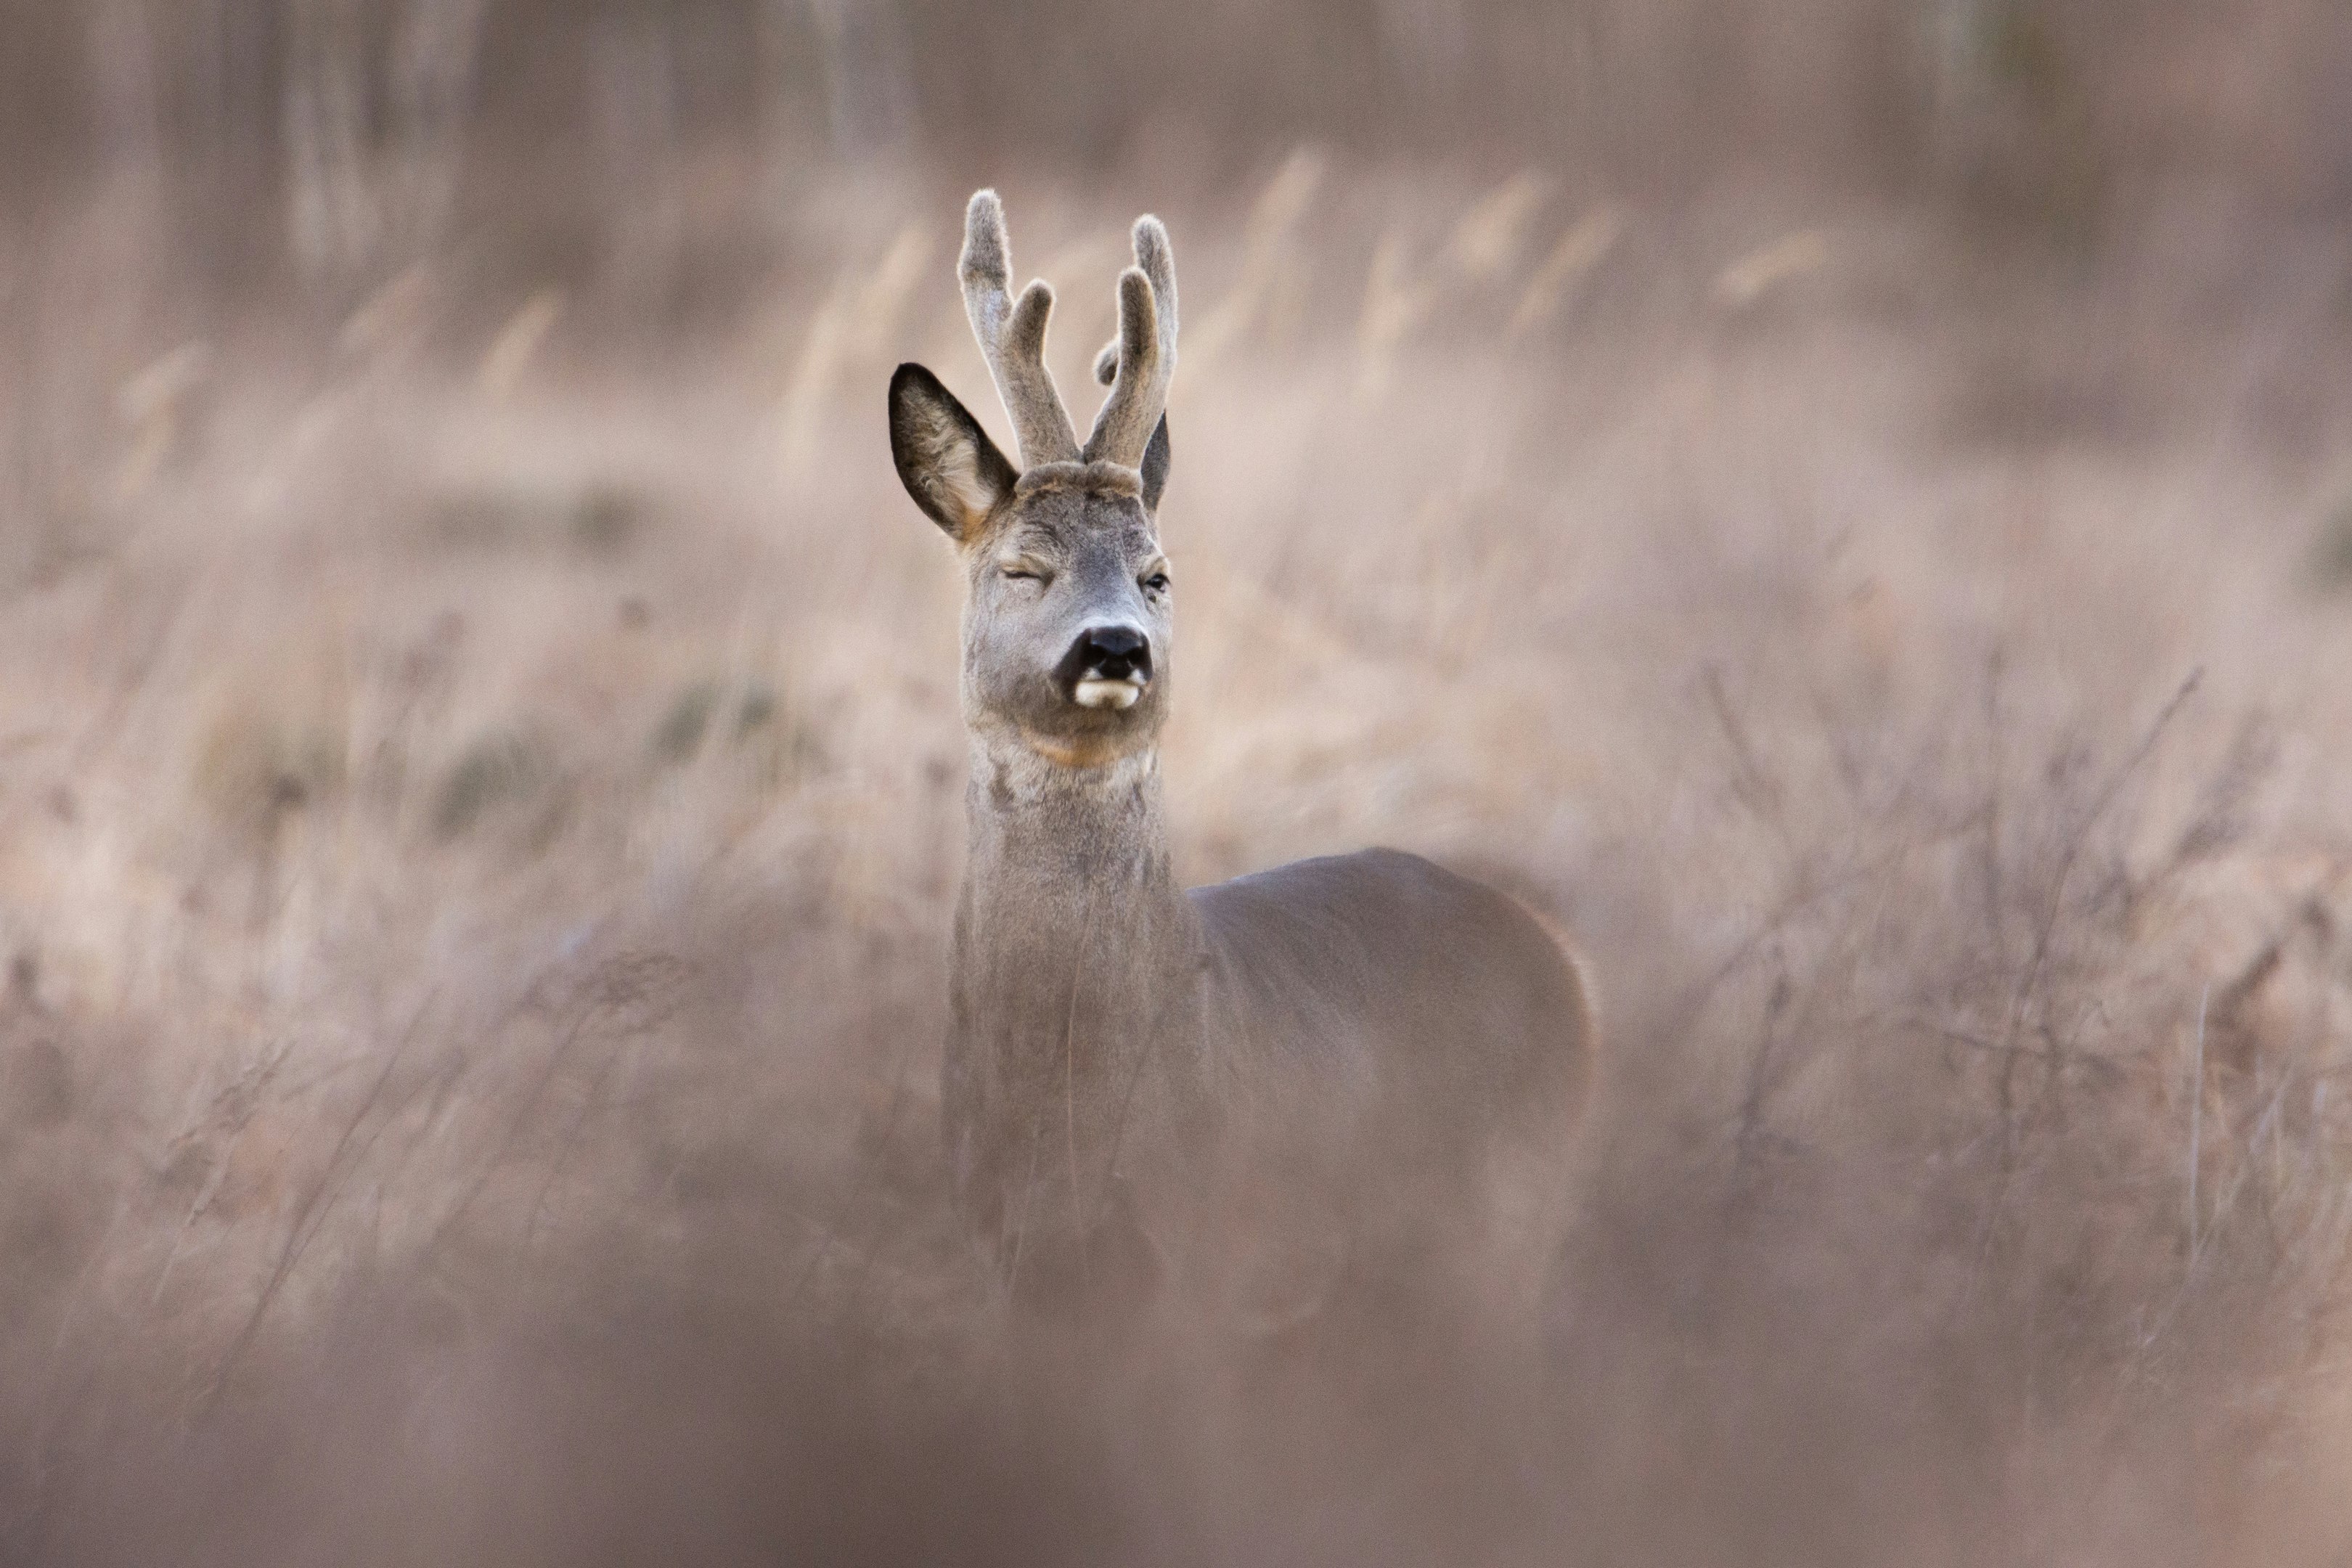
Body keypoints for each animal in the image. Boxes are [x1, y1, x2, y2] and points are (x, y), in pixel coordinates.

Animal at [884, 190, 1599, 1307]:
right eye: (1023, 567)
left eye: (1157, 574)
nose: (1115, 645)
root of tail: (1563, 960)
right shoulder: (996, 1255)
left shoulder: (1206, 1254)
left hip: (1514, 1214)